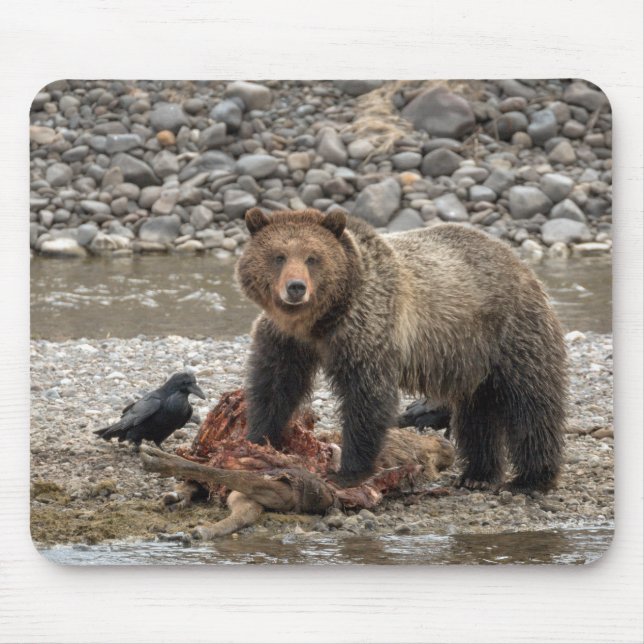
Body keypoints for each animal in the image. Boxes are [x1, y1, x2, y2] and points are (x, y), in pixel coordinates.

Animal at [235, 207, 567, 492]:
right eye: (278, 256)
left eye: (312, 258)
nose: (296, 288)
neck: (318, 322)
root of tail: (518, 262)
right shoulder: (285, 340)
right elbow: (274, 387)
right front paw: (255, 440)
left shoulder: (368, 327)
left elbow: (367, 398)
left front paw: (348, 471)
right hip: (472, 357)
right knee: (477, 414)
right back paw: (477, 475)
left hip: (511, 333)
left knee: (531, 403)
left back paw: (531, 478)